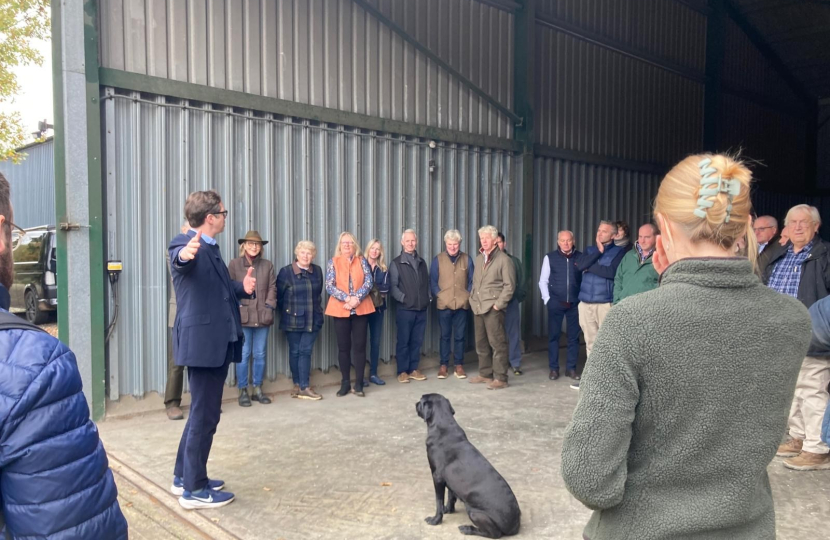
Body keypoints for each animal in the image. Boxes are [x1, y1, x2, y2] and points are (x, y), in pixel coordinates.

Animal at [420, 392, 524, 536]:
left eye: (420, 401)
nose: (415, 404)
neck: (443, 426)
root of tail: (514, 527)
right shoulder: (450, 479)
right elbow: (451, 496)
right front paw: (449, 509)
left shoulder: (437, 477)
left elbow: (438, 502)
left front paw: (435, 520)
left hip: (474, 512)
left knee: (494, 534)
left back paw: (468, 529)